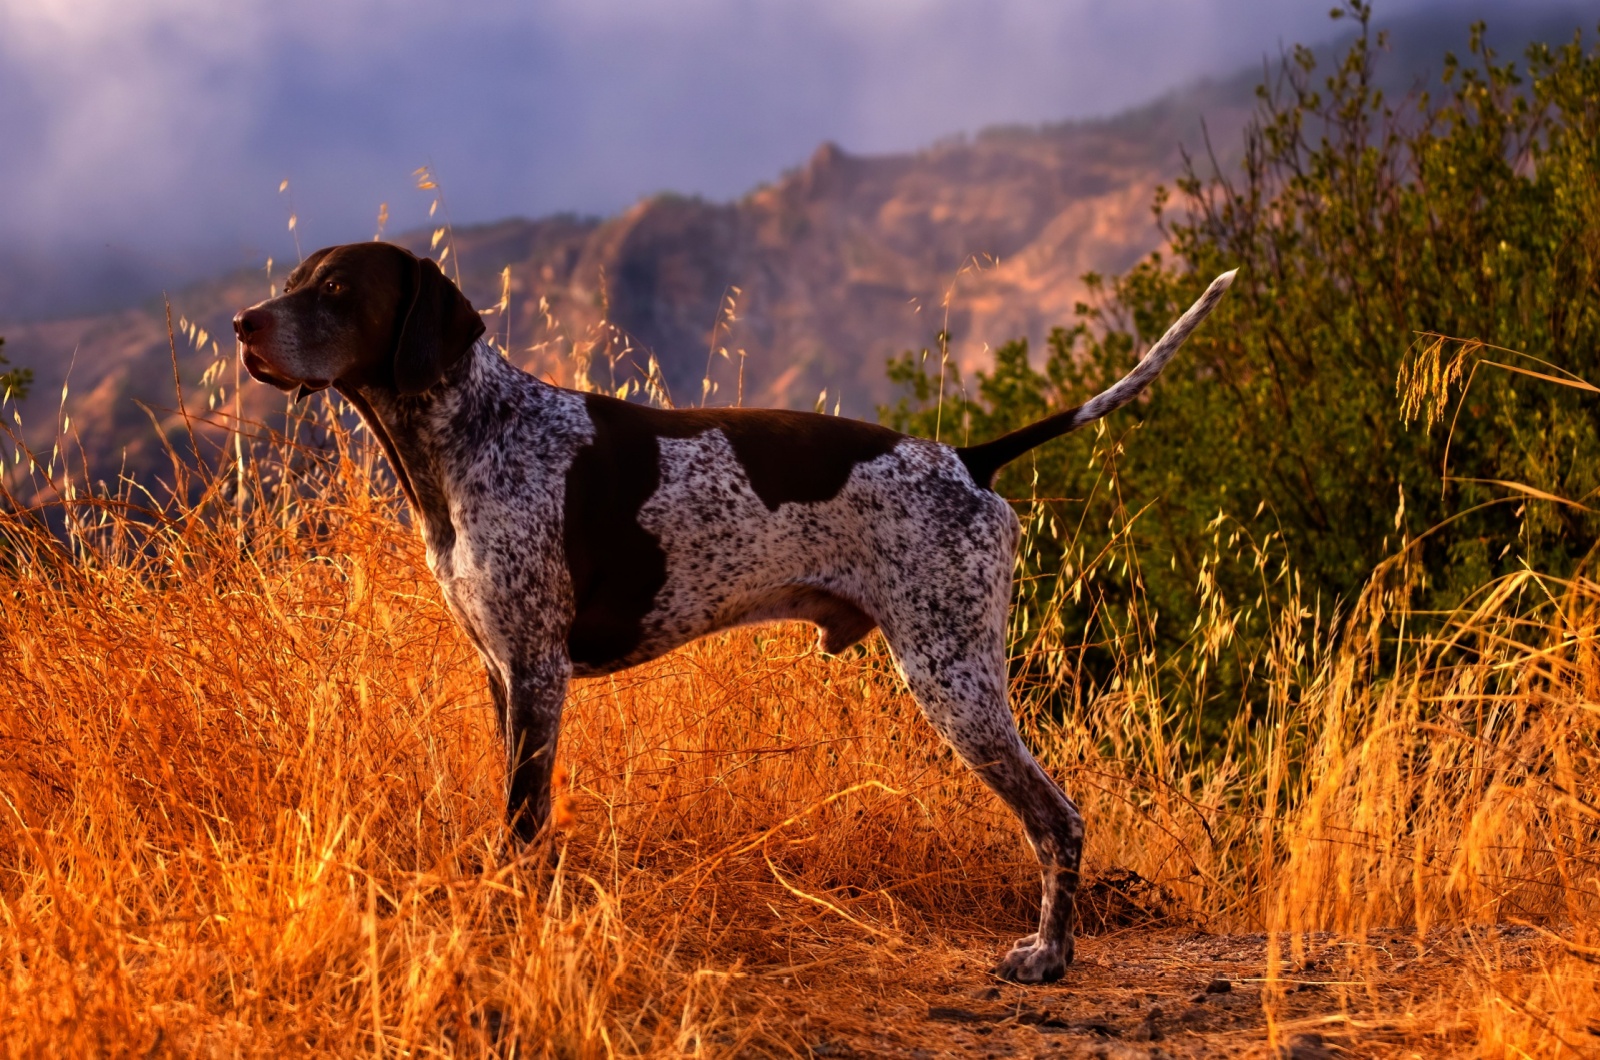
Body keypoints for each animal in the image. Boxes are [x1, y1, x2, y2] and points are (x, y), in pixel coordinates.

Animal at [233, 243, 1235, 986]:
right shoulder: (502, 671)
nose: (243, 324)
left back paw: (1050, 956)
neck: (476, 431)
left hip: (954, 676)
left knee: (1057, 819)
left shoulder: (537, 672)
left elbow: (524, 822)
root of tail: (967, 459)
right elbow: (516, 816)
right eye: (295, 281)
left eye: (335, 289)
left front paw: (510, 924)